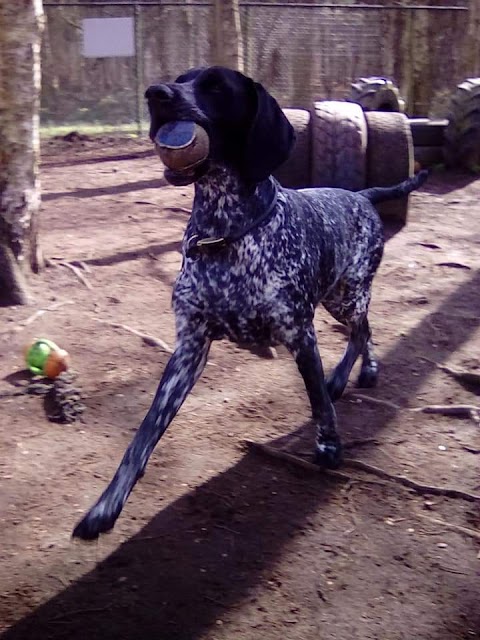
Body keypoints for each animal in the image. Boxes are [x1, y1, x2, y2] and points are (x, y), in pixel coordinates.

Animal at [74, 66, 428, 540]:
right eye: (180, 78)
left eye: (217, 87)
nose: (156, 93)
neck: (224, 233)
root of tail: (362, 195)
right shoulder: (189, 349)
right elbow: (143, 435)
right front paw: (106, 505)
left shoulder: (300, 334)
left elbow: (318, 402)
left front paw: (329, 445)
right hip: (339, 298)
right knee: (366, 328)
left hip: (345, 295)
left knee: (363, 328)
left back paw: (351, 374)